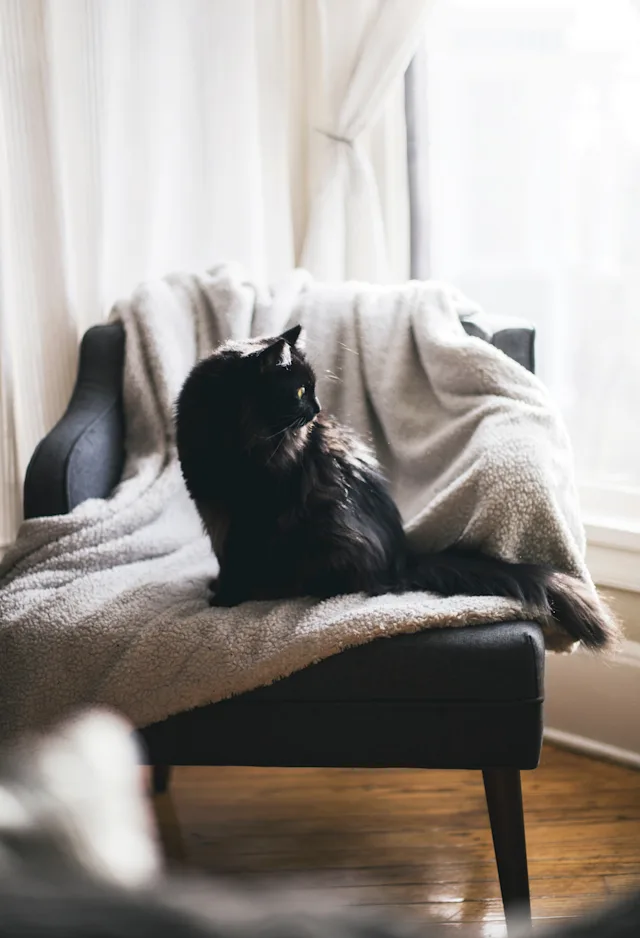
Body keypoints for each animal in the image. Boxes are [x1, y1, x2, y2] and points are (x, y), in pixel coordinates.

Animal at [175, 326, 616, 648]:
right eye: (299, 391)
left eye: (312, 388)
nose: (318, 410)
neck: (227, 441)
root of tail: (402, 558)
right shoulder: (213, 507)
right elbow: (225, 557)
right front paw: (220, 590)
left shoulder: (253, 515)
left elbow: (237, 561)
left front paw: (225, 599)